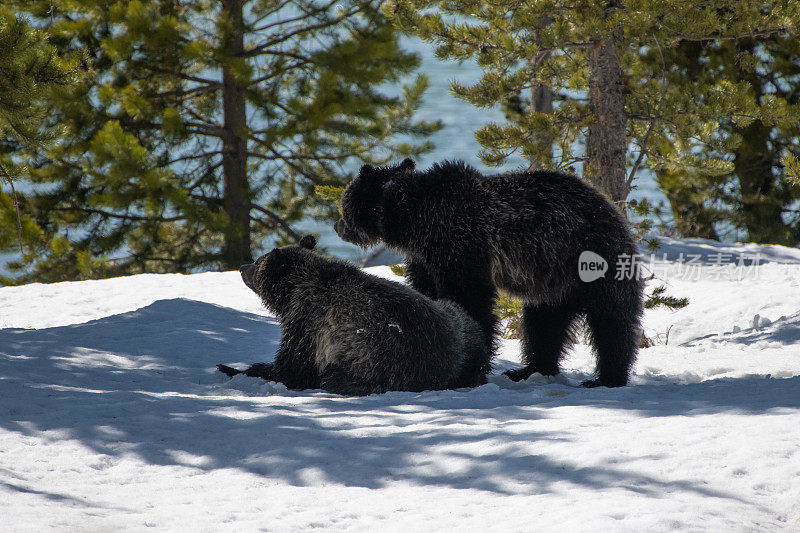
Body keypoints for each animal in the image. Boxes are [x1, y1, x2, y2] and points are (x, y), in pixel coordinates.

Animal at [216, 235, 490, 392]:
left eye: (258, 262)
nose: (242, 267)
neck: (295, 292)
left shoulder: (309, 324)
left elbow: (292, 366)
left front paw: (233, 368)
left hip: (384, 360)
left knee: (334, 377)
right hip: (460, 327)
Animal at [334, 158, 648, 386]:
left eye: (342, 205)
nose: (337, 227)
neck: (411, 219)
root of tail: (613, 210)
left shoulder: (461, 244)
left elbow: (470, 299)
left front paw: (474, 359)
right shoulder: (426, 259)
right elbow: (428, 296)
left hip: (592, 261)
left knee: (610, 321)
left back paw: (606, 378)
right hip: (555, 284)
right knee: (544, 323)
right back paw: (529, 370)